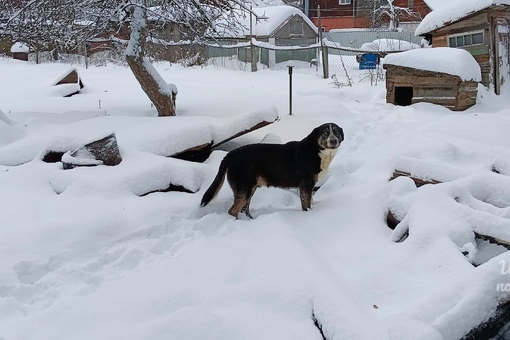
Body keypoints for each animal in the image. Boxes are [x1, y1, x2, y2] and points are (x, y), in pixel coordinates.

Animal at [199, 123, 342, 218]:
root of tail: (231, 154)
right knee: (233, 211)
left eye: (336, 132)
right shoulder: (305, 186)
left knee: (244, 209)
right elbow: (306, 205)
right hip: (244, 188)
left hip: (249, 188)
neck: (316, 151)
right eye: (325, 133)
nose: (333, 140)